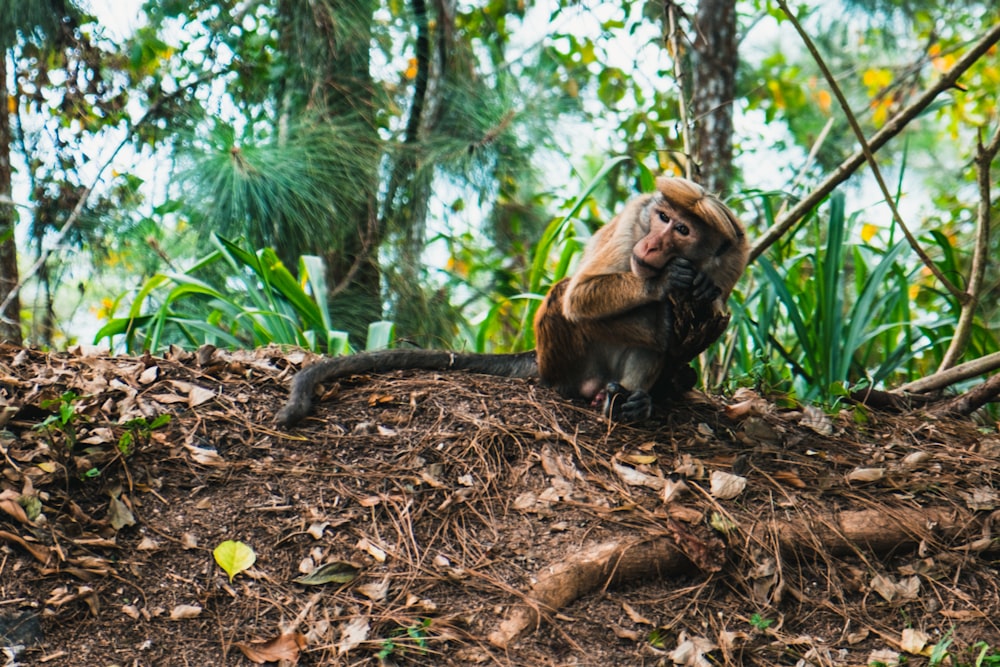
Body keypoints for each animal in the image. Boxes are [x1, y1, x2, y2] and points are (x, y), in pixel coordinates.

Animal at [278, 176, 748, 428]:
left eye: (682, 230)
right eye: (662, 218)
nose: (652, 245)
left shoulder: (732, 262)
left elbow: (708, 305)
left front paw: (692, 310)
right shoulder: (634, 222)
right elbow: (580, 299)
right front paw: (668, 289)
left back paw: (633, 399)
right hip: (563, 362)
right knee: (567, 299)